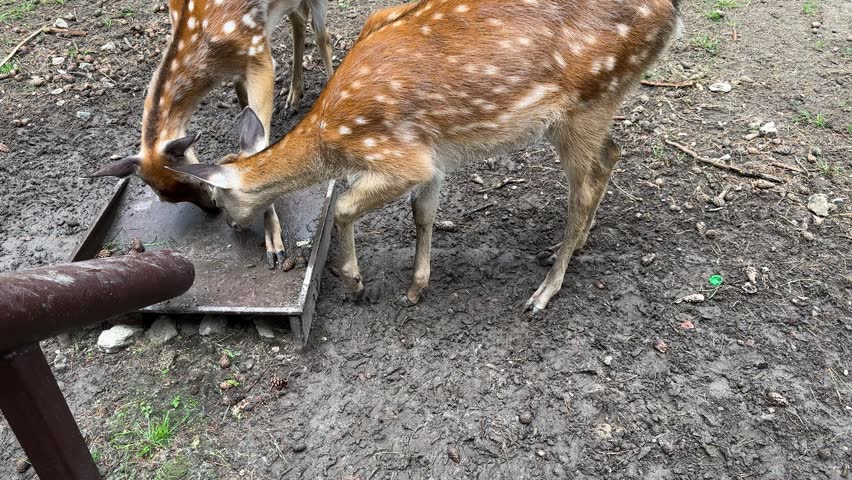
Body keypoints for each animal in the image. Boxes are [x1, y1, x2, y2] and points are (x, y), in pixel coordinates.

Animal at [86, 0, 334, 269]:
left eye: (191, 179)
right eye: (165, 198)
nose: (213, 209)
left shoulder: (258, 52)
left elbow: (261, 143)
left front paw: (274, 245)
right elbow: (242, 102)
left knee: (322, 37)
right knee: (299, 19)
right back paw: (293, 98)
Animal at [170, 0, 684, 312]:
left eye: (218, 200)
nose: (232, 226)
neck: (332, 137)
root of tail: (671, 13)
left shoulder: (398, 154)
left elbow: (344, 205)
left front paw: (356, 283)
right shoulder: (431, 158)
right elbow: (424, 213)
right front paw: (417, 288)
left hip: (586, 104)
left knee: (585, 187)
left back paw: (544, 289)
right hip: (595, 108)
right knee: (612, 153)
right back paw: (574, 246)